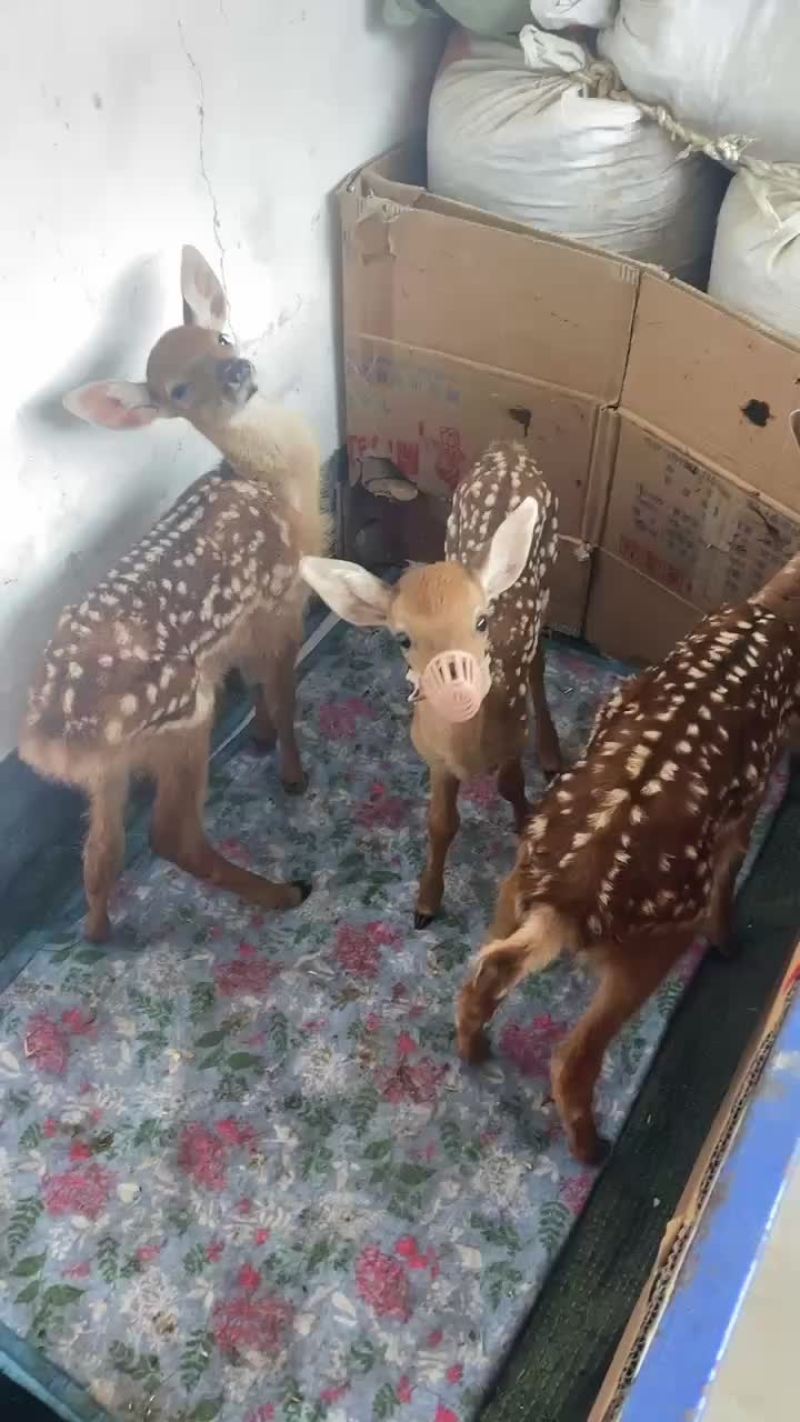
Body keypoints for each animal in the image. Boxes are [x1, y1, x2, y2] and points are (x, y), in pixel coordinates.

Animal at [19, 246, 326, 943]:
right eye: (178, 391)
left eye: (221, 338)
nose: (238, 370)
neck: (277, 487)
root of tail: (49, 735)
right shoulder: (280, 602)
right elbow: (283, 690)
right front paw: (293, 773)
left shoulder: (238, 631)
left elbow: (259, 685)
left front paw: (260, 737)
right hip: (182, 717)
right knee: (170, 835)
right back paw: (281, 893)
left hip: (108, 770)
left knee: (99, 849)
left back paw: (100, 930)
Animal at [300, 442, 562, 927]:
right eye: (402, 637)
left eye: (482, 620)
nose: (458, 689)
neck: (470, 752)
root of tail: (509, 448)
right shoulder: (434, 758)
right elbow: (440, 823)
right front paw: (426, 902)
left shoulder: (514, 734)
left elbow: (511, 786)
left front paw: (524, 825)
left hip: (550, 569)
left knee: (539, 661)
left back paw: (552, 754)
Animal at [457, 413, 800, 1166]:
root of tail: (564, 901)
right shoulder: (749, 800)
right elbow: (731, 871)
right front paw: (729, 941)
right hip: (649, 942)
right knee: (573, 1058)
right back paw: (594, 1147)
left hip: (513, 886)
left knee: (482, 977)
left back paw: (471, 1050)